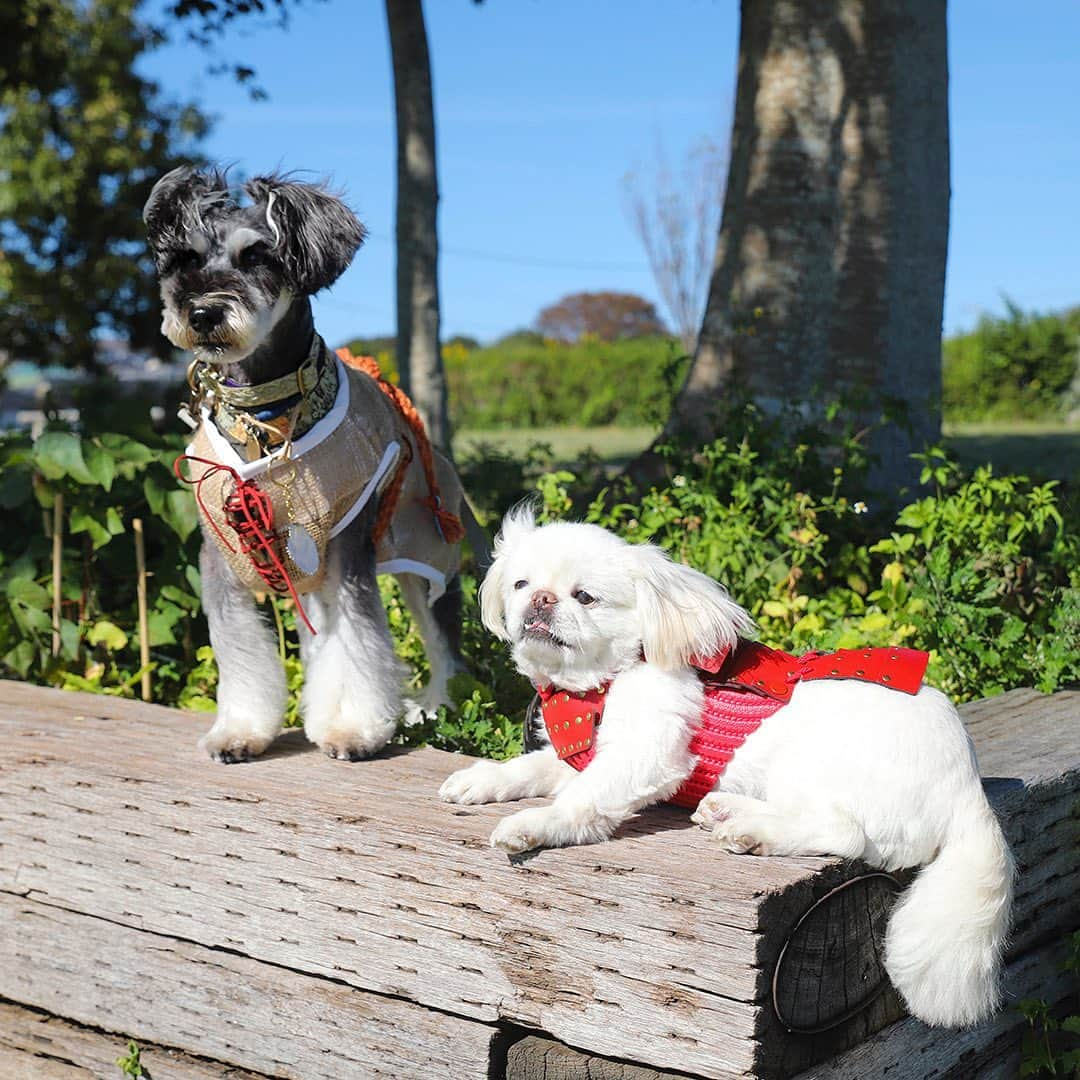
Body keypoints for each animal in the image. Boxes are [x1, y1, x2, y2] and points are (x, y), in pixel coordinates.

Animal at [145, 166, 475, 760]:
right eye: (185, 259)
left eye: (257, 256)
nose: (201, 313)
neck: (265, 417)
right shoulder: (220, 557)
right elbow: (240, 651)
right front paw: (239, 731)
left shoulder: (349, 550)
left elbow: (360, 640)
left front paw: (354, 729)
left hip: (425, 554)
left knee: (442, 644)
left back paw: (434, 707)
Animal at [438, 505, 1010, 1028]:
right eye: (521, 583)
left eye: (584, 596)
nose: (540, 599)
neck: (596, 687)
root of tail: (967, 790)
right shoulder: (581, 756)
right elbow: (528, 768)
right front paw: (480, 780)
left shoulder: (644, 753)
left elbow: (581, 801)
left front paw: (535, 824)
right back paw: (729, 810)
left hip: (810, 762)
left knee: (842, 833)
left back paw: (751, 830)